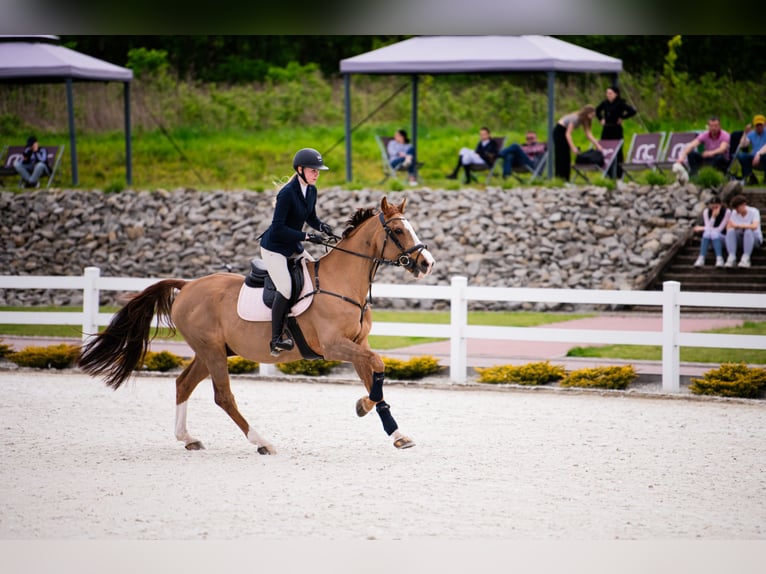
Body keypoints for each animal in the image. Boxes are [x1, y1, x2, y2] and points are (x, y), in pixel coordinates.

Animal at [79, 197, 438, 454]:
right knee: (223, 396)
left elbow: (376, 378)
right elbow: (377, 366)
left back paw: (188, 438)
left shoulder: (358, 344)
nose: (427, 263)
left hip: (212, 351)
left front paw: (396, 432)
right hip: (213, 352)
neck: (343, 282)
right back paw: (262, 441)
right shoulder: (335, 346)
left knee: (183, 383)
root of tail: (188, 285)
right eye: (399, 231)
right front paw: (363, 406)